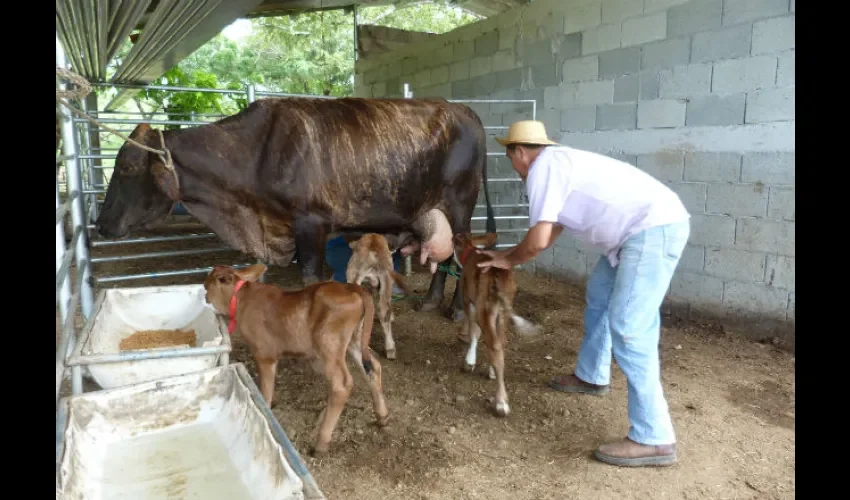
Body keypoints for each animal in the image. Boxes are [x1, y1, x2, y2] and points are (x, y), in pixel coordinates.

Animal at [204, 264, 390, 456]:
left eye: (206, 286)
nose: (205, 297)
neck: (241, 300)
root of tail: (351, 287)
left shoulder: (264, 354)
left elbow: (266, 388)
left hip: (329, 344)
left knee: (342, 384)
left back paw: (321, 442)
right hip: (355, 339)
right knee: (373, 368)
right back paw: (382, 416)